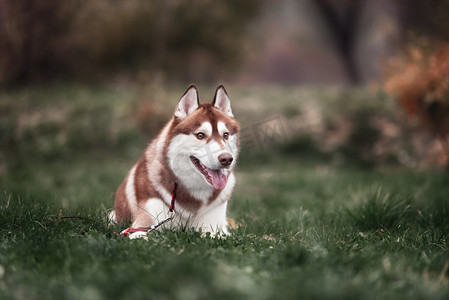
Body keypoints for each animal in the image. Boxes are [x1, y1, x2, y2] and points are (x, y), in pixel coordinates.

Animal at [110, 85, 240, 239]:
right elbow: (140, 234)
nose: (227, 159)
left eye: (225, 135)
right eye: (200, 135)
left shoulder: (215, 228)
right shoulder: (142, 224)